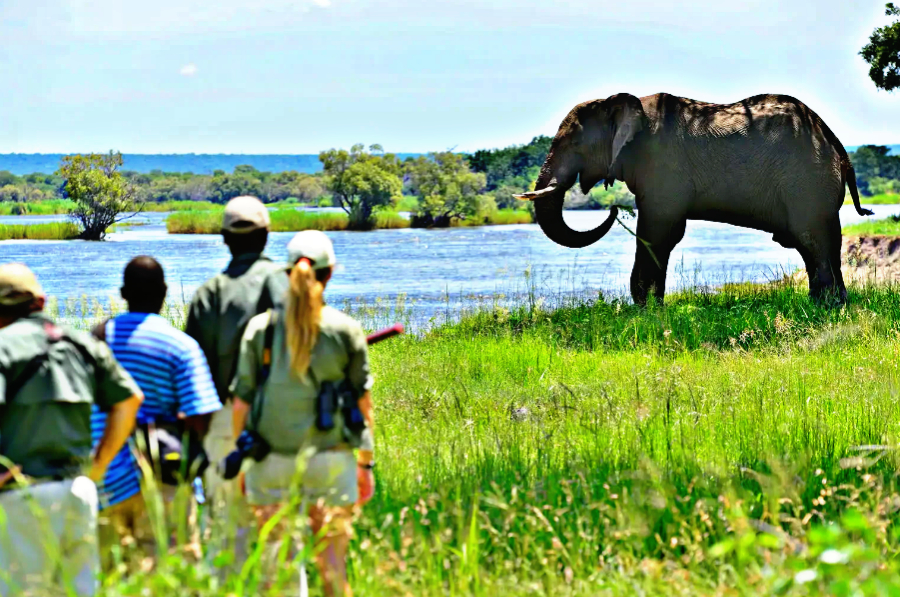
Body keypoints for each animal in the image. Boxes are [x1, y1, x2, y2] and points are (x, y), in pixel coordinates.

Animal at [512, 95, 872, 304]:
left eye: (574, 144)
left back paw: (828, 307)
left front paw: (646, 309)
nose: (612, 207)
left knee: (813, 240)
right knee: (816, 245)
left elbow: (658, 232)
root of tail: (838, 146)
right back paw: (826, 304)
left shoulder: (662, 165)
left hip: (807, 180)